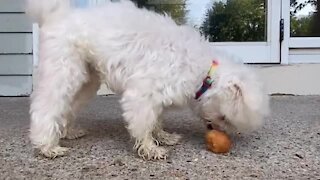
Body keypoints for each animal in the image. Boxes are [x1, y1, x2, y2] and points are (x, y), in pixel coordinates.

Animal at [26, 0, 268, 160]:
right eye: (225, 118)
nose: (215, 130)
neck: (201, 70)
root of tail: (60, 15)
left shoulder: (156, 98)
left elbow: (156, 120)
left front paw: (163, 137)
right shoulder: (141, 95)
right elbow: (143, 124)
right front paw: (150, 149)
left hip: (86, 81)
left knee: (67, 107)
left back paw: (68, 133)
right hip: (64, 72)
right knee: (46, 107)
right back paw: (47, 146)